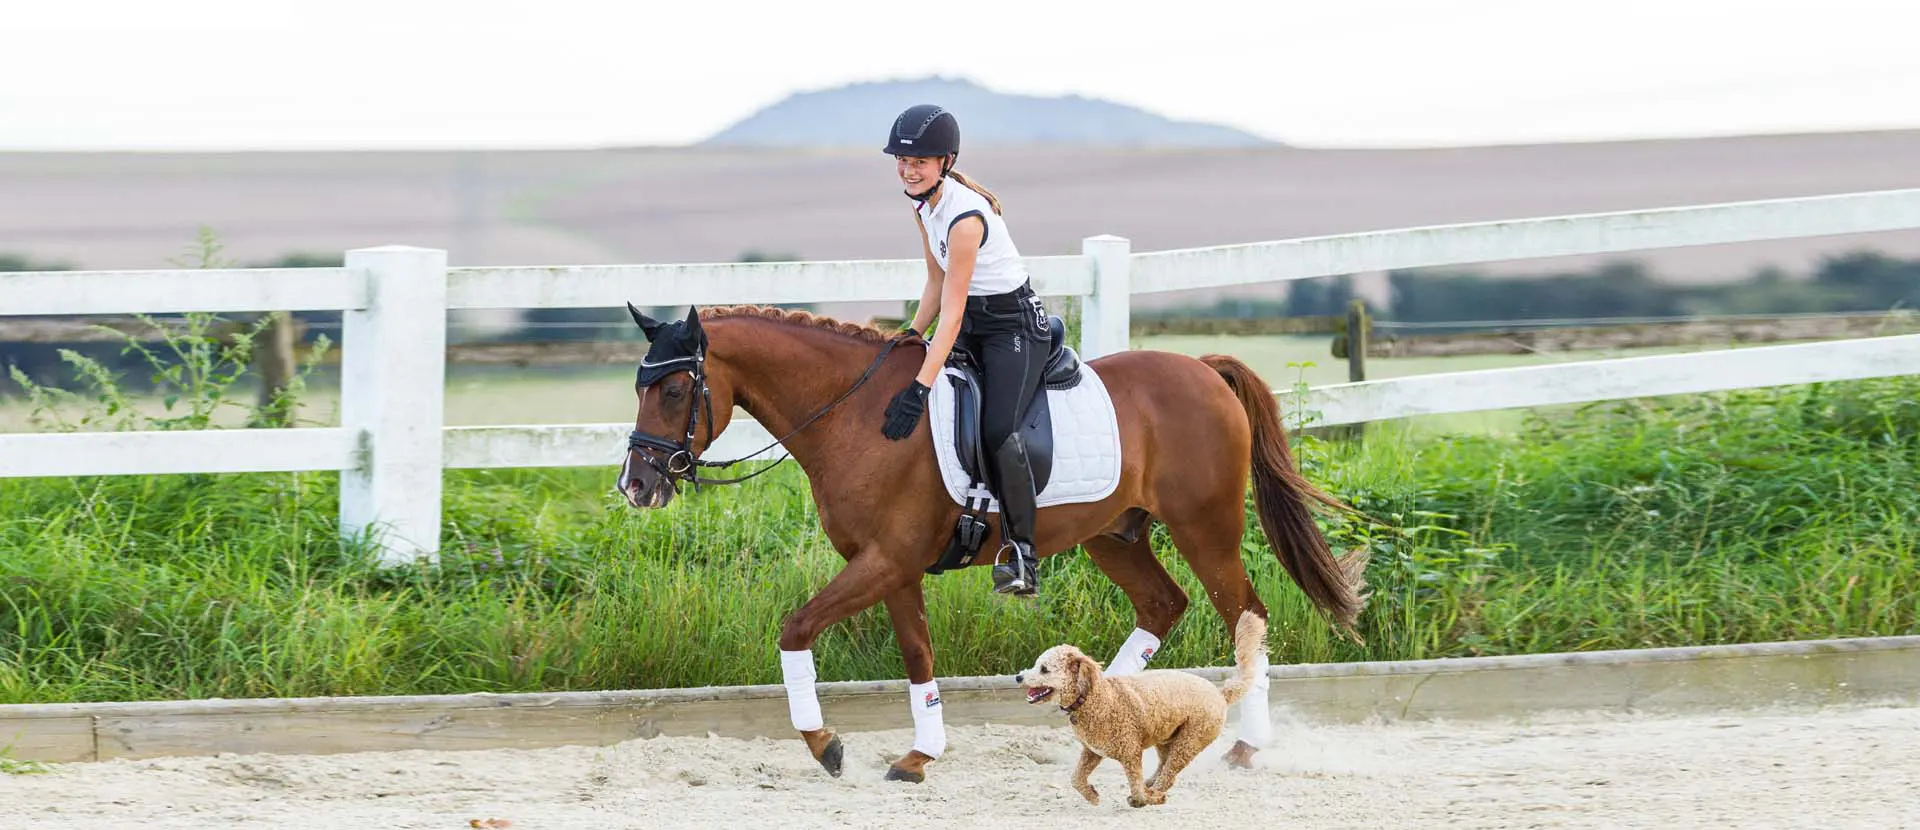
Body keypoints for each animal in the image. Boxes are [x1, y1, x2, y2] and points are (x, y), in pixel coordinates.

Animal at [618, 305, 1367, 783]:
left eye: (677, 389)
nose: (636, 484)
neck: (857, 415)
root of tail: (1204, 369)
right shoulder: (891, 567)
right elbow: (917, 656)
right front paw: (920, 756)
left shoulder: (885, 561)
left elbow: (795, 627)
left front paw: (826, 746)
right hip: (1115, 535)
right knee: (1163, 605)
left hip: (1204, 528)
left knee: (1247, 616)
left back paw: (1246, 748)